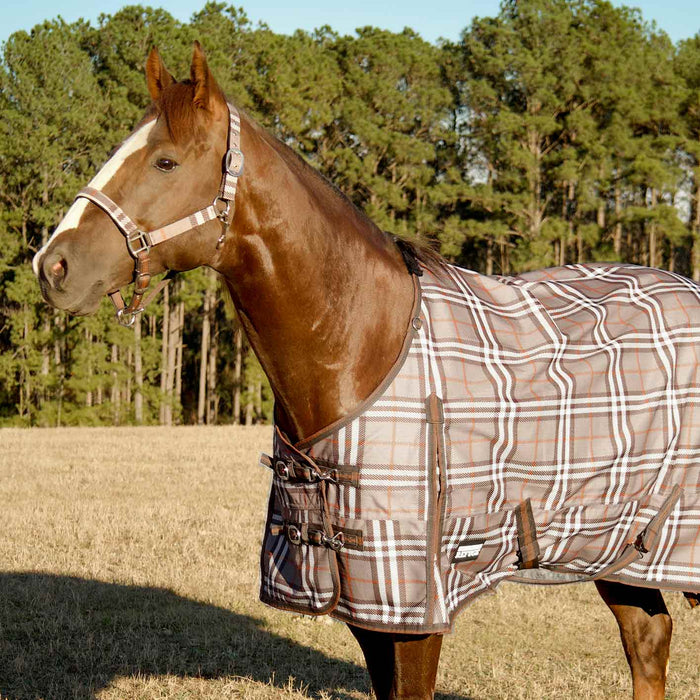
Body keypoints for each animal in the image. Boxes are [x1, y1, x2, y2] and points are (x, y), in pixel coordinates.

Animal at [33, 42, 697, 699]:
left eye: (165, 162)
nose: (52, 266)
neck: (363, 346)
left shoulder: (414, 607)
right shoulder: (368, 607)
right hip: (619, 548)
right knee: (647, 641)